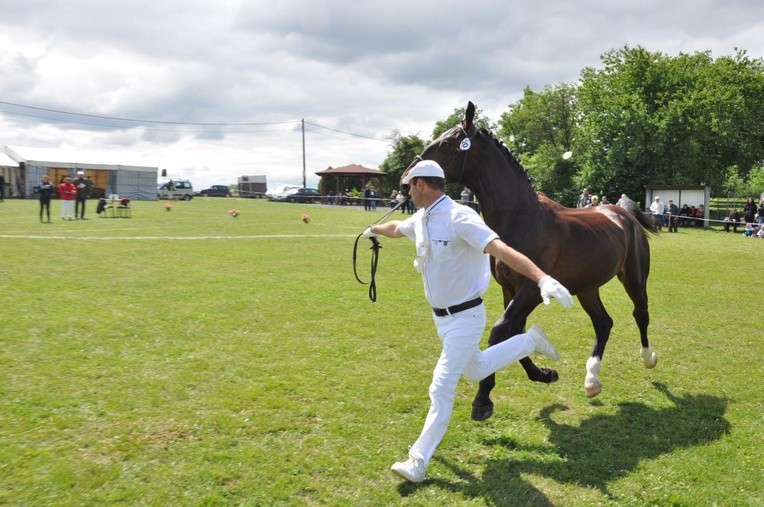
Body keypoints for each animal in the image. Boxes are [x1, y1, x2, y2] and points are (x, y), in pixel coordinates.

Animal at [408, 102, 660, 420]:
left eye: (447, 145)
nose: (406, 180)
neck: (522, 219)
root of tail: (622, 211)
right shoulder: (510, 290)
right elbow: (513, 332)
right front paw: (543, 373)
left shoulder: (531, 290)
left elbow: (501, 331)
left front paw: (483, 400)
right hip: (587, 288)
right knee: (603, 323)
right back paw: (591, 380)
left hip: (635, 278)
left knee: (640, 313)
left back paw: (649, 357)